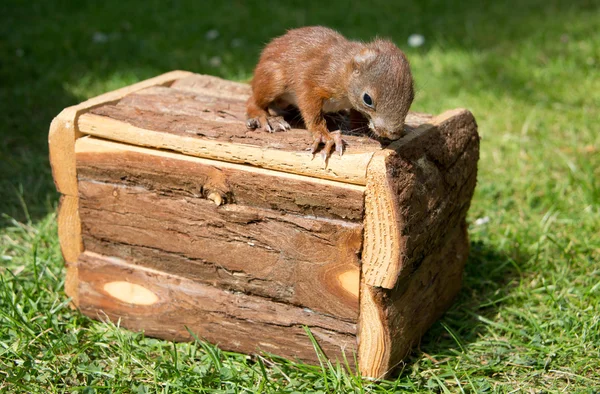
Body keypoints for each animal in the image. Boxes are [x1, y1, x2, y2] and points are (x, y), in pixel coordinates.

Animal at [246, 25, 414, 159]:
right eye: (367, 99)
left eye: (411, 98)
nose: (393, 133)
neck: (344, 71)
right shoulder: (315, 78)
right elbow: (311, 108)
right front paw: (324, 135)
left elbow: (357, 116)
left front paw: (363, 130)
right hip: (273, 79)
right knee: (252, 101)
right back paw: (265, 117)